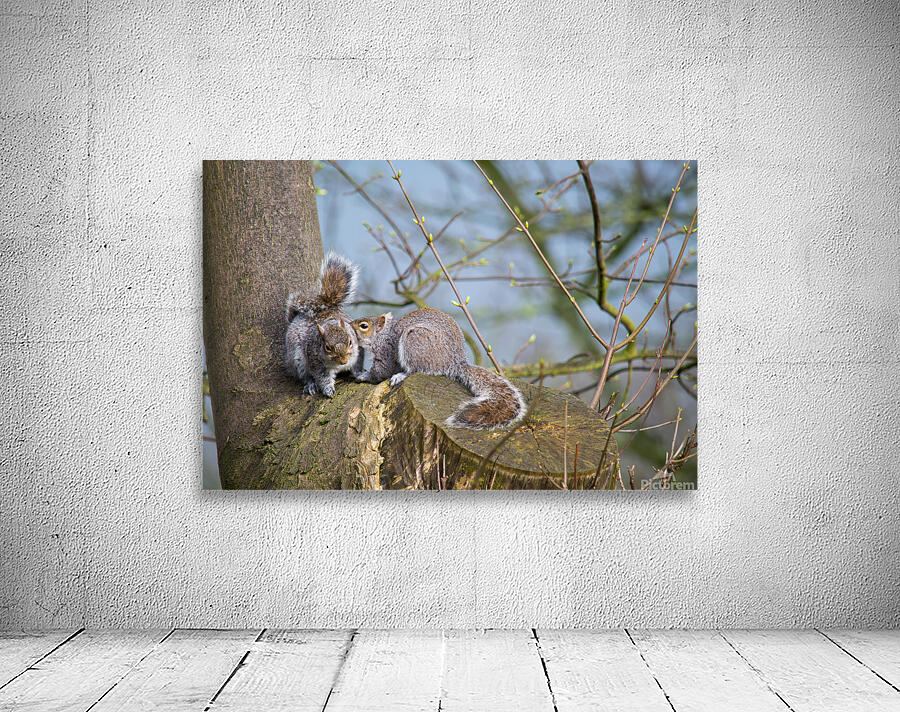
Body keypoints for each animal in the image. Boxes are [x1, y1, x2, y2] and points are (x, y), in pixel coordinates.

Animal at [284, 252, 363, 397]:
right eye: (327, 347)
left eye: (350, 341)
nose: (344, 361)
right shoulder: (316, 362)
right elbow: (322, 377)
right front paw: (328, 389)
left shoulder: (357, 352)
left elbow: (357, 365)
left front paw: (360, 373)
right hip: (297, 360)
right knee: (305, 375)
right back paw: (310, 385)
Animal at [350, 308, 526, 430]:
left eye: (364, 326)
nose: (348, 325)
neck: (382, 335)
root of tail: (454, 363)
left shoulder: (386, 351)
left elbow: (382, 371)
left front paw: (363, 375)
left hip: (414, 340)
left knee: (415, 370)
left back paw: (401, 375)